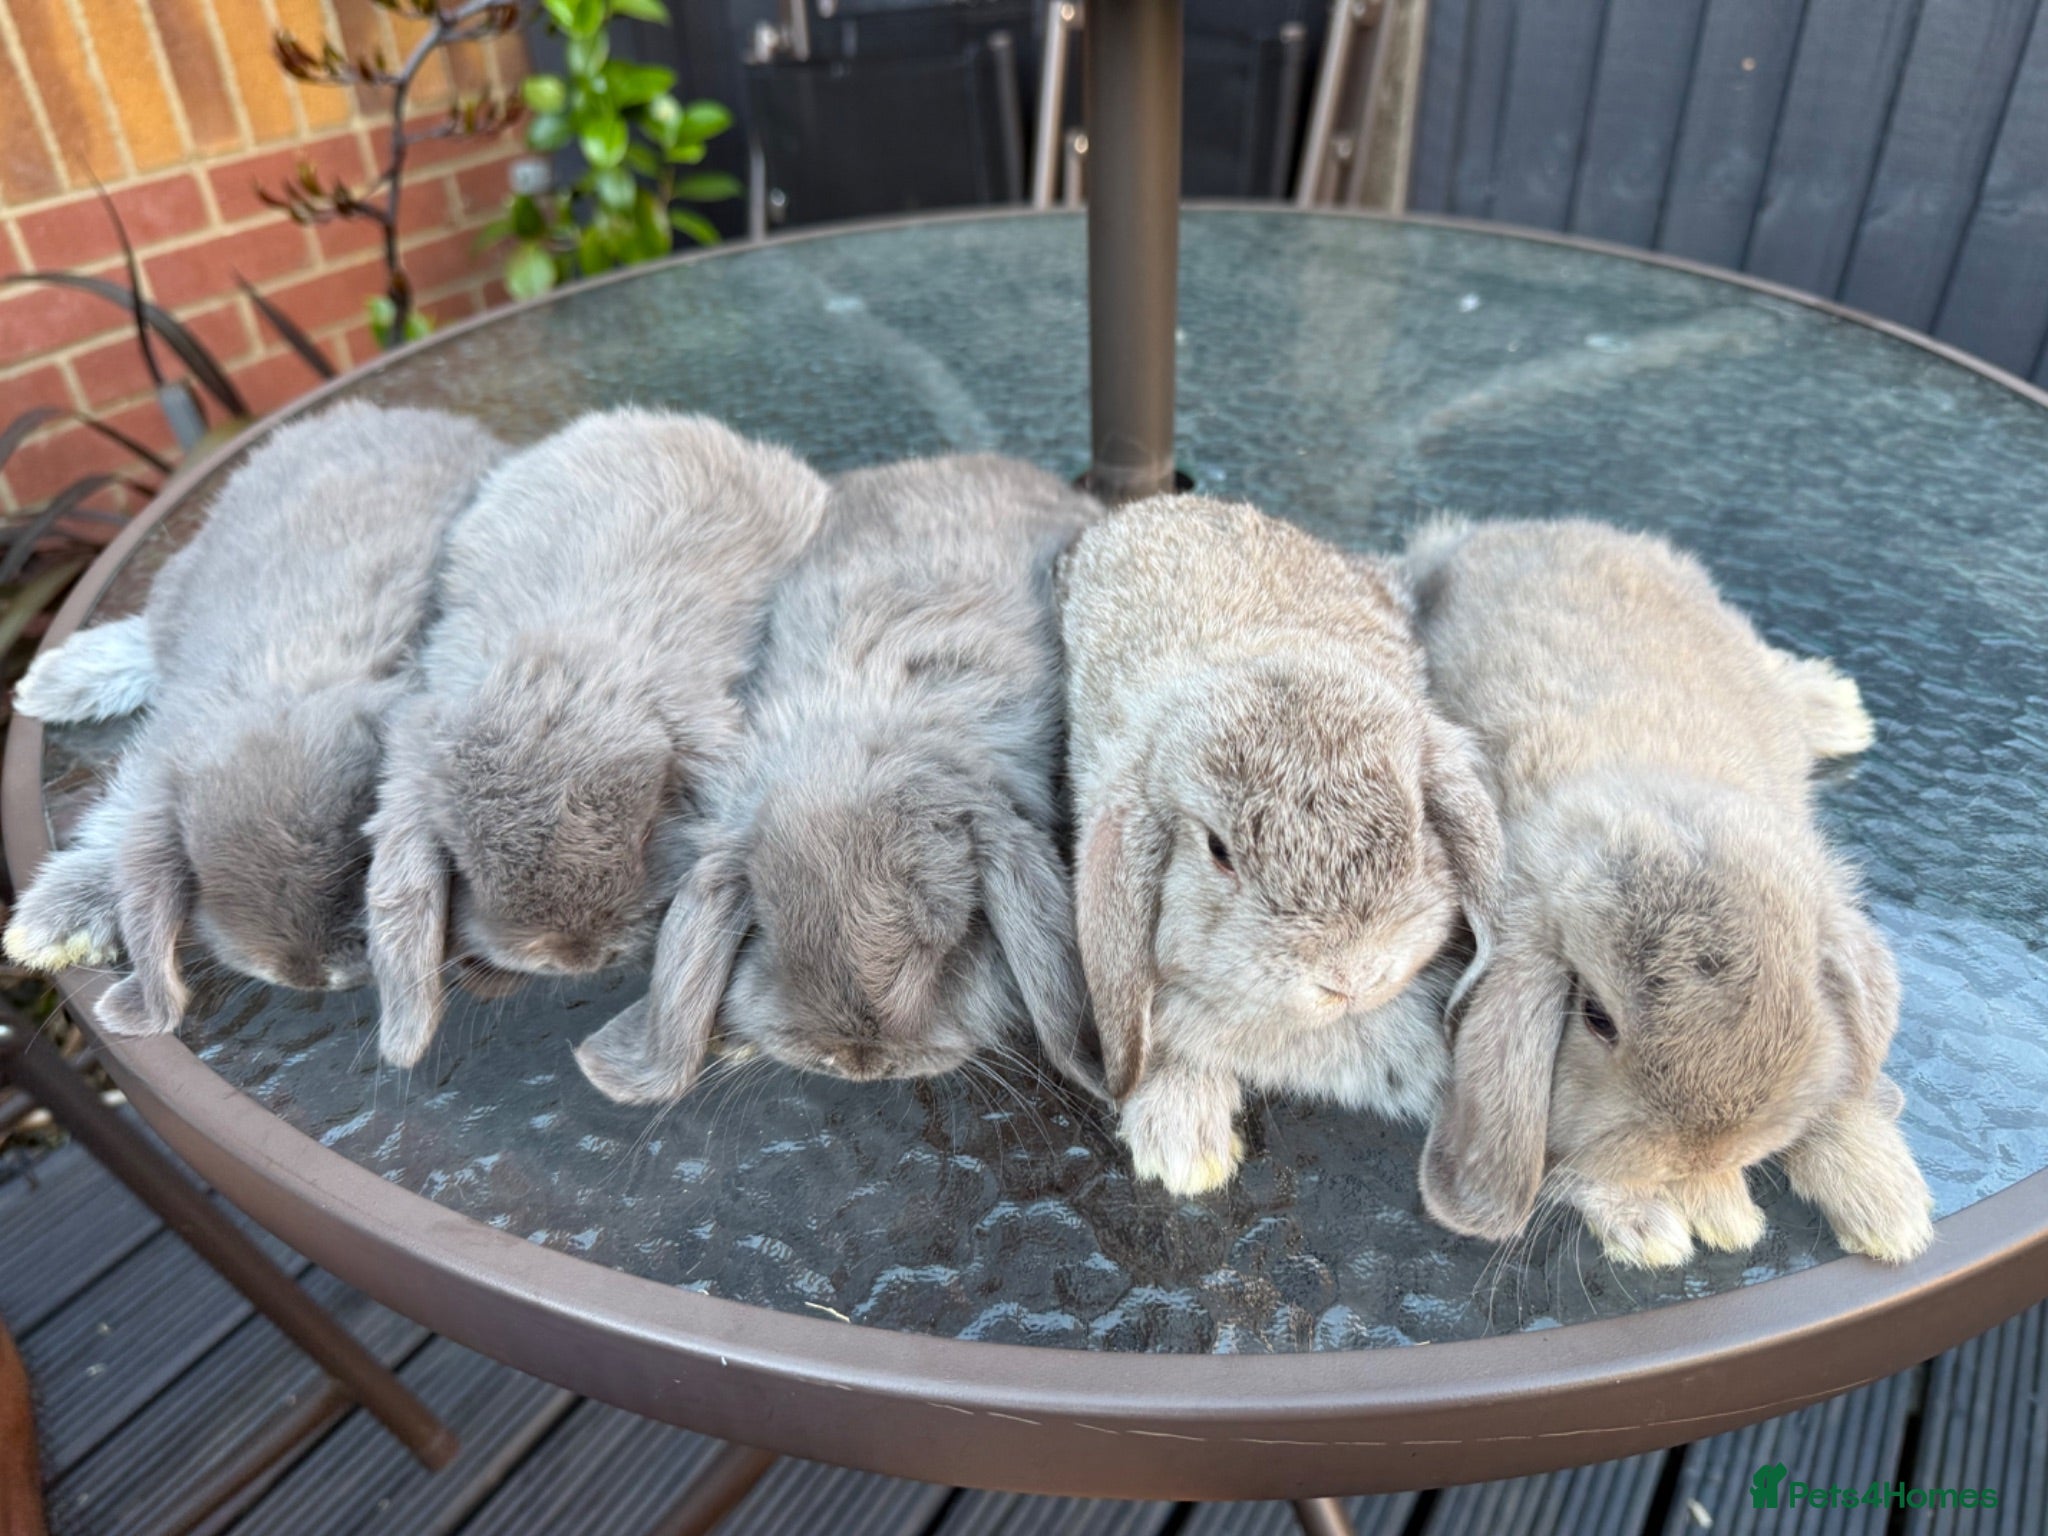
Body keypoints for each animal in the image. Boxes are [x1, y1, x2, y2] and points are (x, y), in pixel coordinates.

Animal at [4, 402, 505, 1038]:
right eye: (202, 868)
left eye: (364, 856)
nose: (309, 976)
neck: (287, 688)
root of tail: (393, 414)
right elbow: (119, 827)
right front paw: (52, 922)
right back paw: (51, 682)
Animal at [1406, 516, 1933, 1269]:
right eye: (1595, 1017)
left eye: (1804, 999)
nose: (1697, 1151)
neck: (1645, 788)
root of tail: (1517, 528)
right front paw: (1674, 1223)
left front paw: (1891, 1214)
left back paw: (1836, 708)